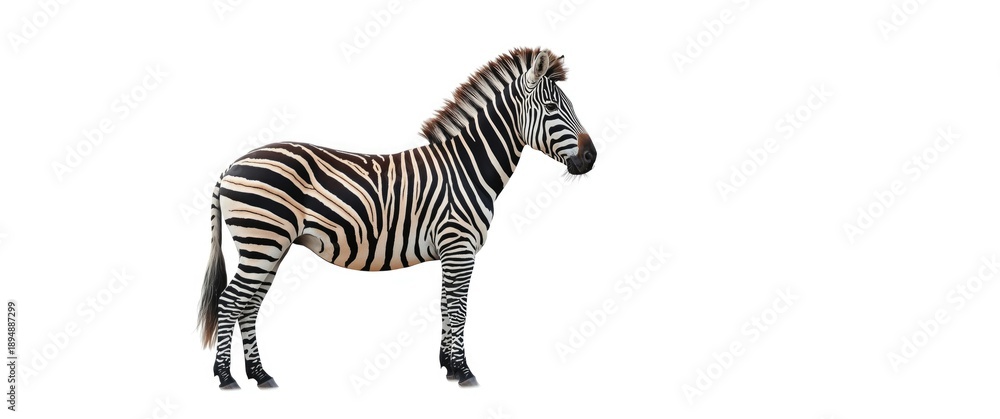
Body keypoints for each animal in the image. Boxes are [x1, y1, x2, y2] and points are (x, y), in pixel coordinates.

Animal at [197, 47, 597, 389]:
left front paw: (448, 367)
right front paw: (465, 372)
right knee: (230, 302)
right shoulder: (459, 246)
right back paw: (227, 378)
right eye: (551, 107)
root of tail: (231, 165)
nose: (591, 157)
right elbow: (459, 308)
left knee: (249, 306)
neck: (467, 167)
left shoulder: (452, 251)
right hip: (262, 241)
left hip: (269, 247)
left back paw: (260, 375)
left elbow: (445, 305)